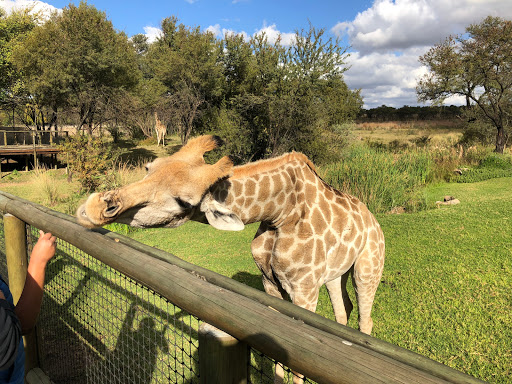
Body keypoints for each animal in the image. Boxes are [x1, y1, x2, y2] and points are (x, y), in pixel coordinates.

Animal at [76, 134, 384, 380]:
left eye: (184, 202)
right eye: (148, 168)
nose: (93, 208)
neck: (278, 214)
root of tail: (373, 220)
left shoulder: (304, 289)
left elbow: (298, 364)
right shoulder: (269, 282)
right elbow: (277, 355)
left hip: (367, 269)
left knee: (365, 319)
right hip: (335, 274)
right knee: (343, 312)